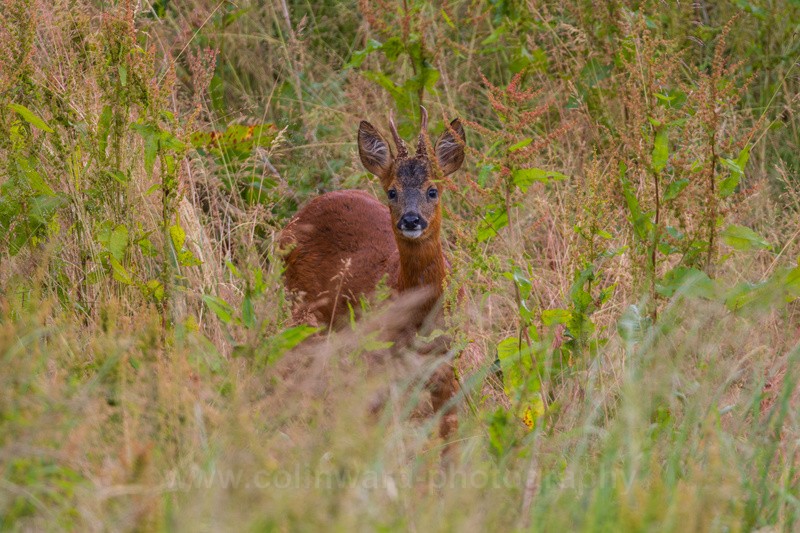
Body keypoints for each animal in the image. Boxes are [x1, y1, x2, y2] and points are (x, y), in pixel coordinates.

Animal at [279, 107, 466, 450]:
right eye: (392, 191)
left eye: (433, 190)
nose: (411, 219)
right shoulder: (379, 353)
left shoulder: (447, 357)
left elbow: (450, 434)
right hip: (303, 309)